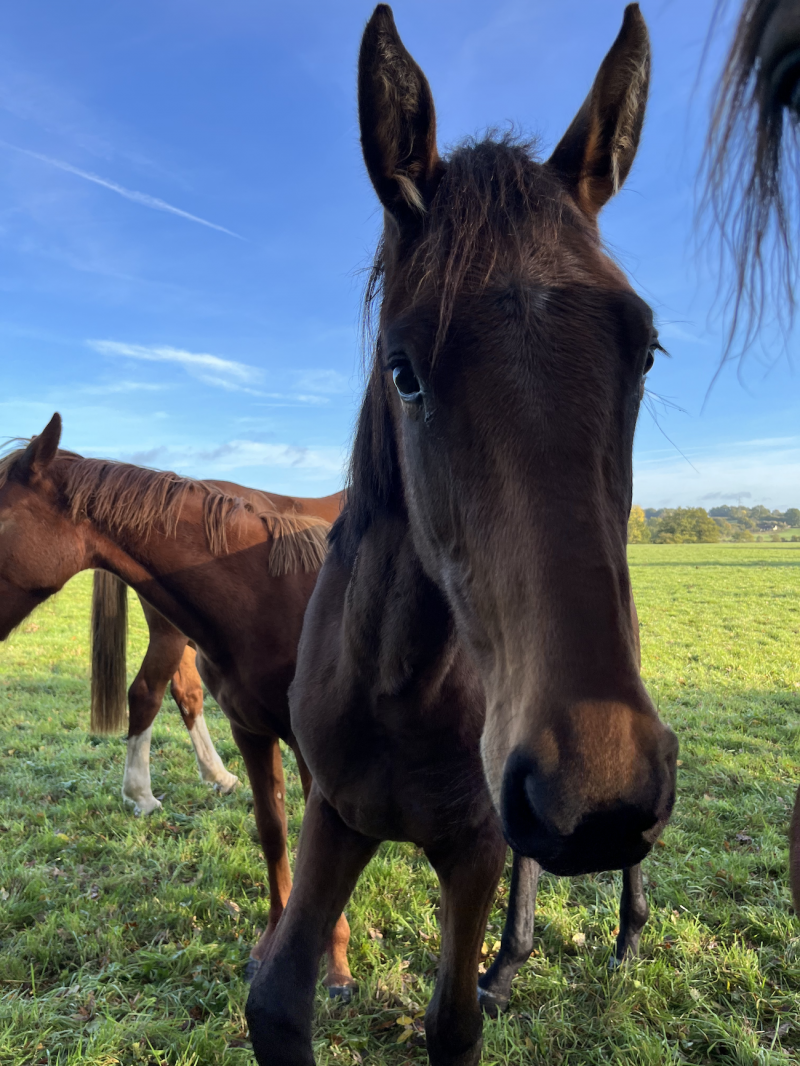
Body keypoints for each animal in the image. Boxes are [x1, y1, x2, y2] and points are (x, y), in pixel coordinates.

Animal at [247, 4, 678, 1061]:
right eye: (403, 369)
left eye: (644, 349)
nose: (598, 796)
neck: (396, 686)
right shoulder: (336, 815)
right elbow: (278, 997)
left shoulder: (473, 845)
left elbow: (450, 1023)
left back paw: (609, 939)